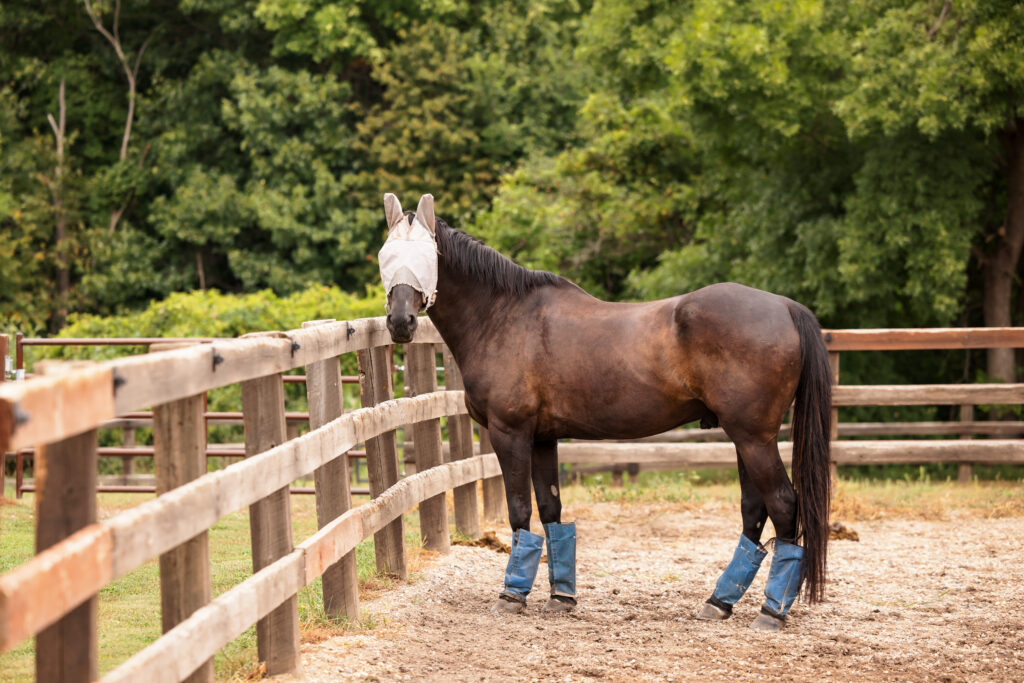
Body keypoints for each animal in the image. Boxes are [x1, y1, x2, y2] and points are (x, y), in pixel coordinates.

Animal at [377, 193, 832, 631]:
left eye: (426, 256)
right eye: (384, 255)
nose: (400, 322)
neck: (503, 317)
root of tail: (785, 307)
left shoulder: (510, 433)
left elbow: (520, 511)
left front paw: (512, 595)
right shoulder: (543, 437)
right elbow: (552, 510)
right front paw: (561, 597)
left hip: (754, 438)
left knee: (783, 505)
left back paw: (771, 612)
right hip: (744, 437)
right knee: (754, 510)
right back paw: (719, 603)